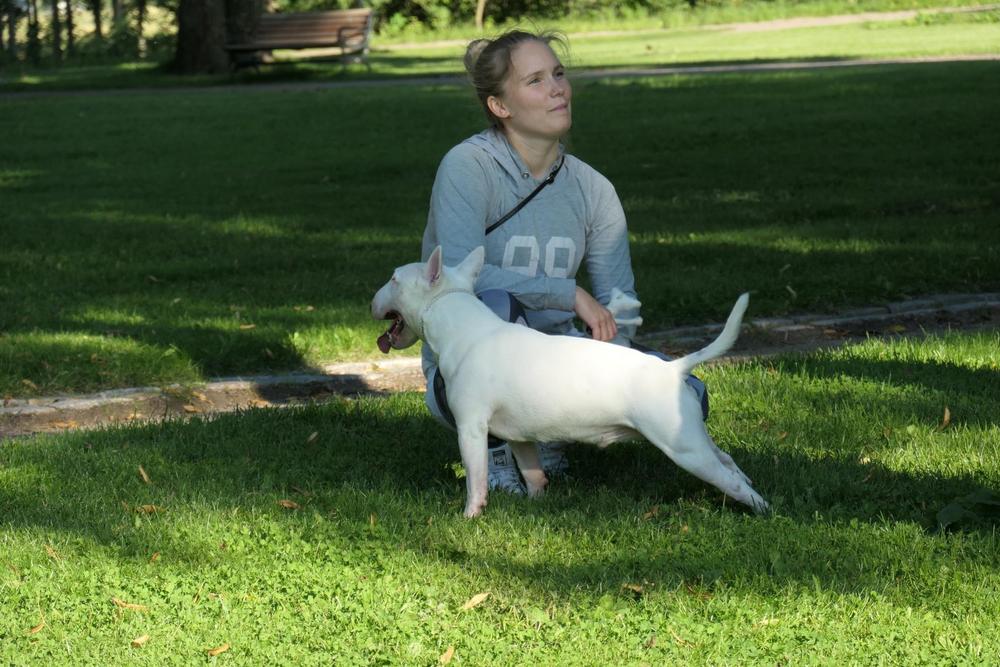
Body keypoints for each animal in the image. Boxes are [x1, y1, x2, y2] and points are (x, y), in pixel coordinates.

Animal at [372, 246, 768, 518]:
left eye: (393, 279)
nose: (372, 301)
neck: (462, 328)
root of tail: (673, 369)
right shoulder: (519, 437)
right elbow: (532, 472)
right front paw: (535, 504)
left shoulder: (470, 428)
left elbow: (476, 476)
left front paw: (470, 515)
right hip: (692, 437)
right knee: (727, 460)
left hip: (682, 447)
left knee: (728, 477)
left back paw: (762, 509)